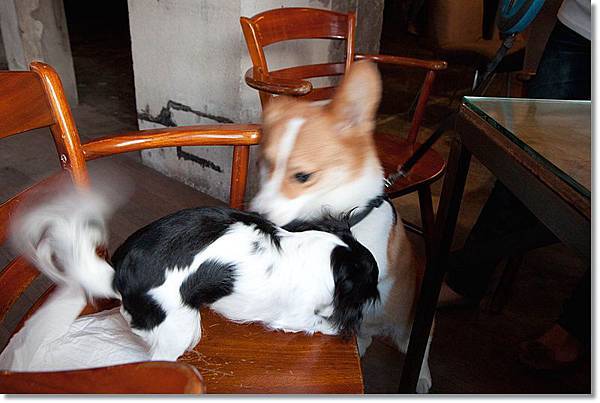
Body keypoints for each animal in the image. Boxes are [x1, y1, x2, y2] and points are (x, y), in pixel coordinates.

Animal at [11, 188, 380, 362]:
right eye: (370, 287)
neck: (326, 254)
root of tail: (117, 275)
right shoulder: (295, 318)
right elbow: (323, 324)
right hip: (180, 328)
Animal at [250, 60, 433, 393]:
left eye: (303, 176)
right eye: (263, 164)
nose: (255, 216)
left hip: (412, 327)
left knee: (421, 349)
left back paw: (422, 378)